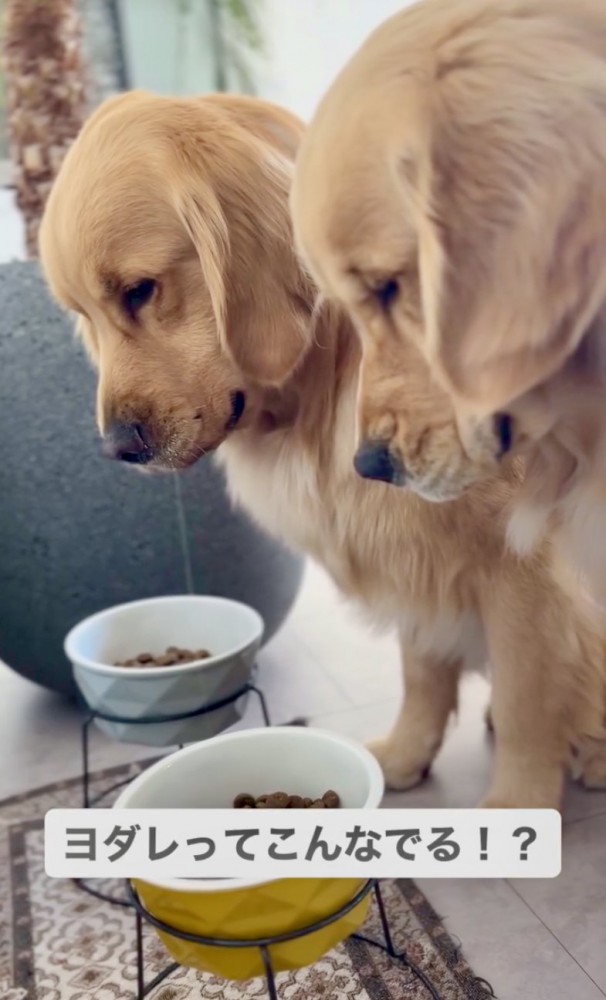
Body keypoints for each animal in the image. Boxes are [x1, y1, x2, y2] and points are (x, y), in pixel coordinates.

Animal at [38, 92, 606, 812]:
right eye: (82, 313)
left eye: (139, 289)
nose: (116, 448)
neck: (325, 388)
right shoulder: (415, 555)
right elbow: (423, 674)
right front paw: (405, 755)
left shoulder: (526, 569)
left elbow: (527, 700)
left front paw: (515, 808)